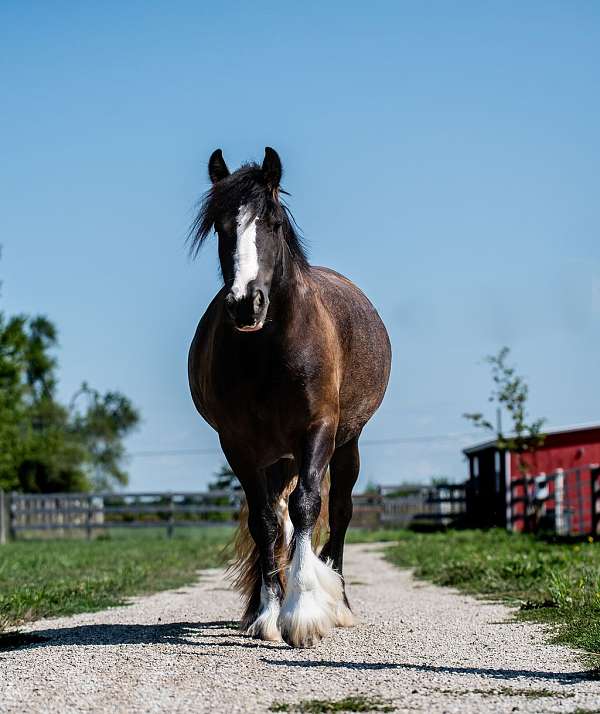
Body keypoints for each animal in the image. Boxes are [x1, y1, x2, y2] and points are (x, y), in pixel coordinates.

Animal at [189, 147, 394, 648]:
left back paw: (339, 603)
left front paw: (302, 612)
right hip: (277, 456)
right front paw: (267, 612)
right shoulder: (238, 445)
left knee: (338, 511)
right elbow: (263, 522)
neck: (269, 352)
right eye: (220, 226)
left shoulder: (317, 430)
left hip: (345, 444)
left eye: (273, 222)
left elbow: (308, 506)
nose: (246, 303)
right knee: (278, 519)